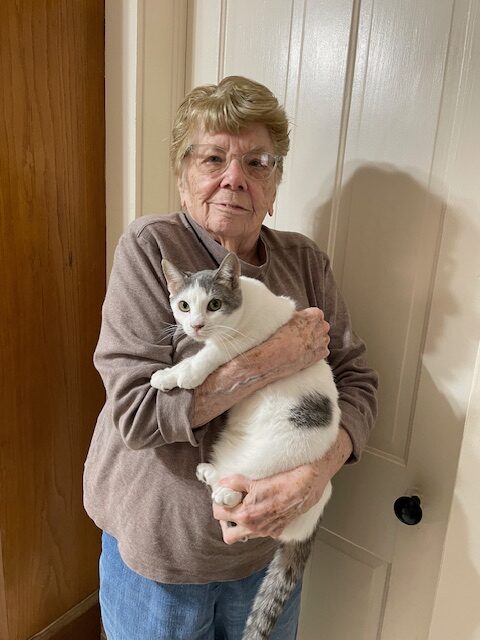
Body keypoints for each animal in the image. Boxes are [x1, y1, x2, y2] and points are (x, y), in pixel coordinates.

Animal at [151, 252, 340, 640]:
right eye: (184, 305)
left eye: (214, 305)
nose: (196, 326)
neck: (247, 308)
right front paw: (169, 373)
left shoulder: (245, 342)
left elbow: (209, 356)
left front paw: (181, 374)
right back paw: (208, 473)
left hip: (277, 464)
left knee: (240, 493)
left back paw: (226, 492)